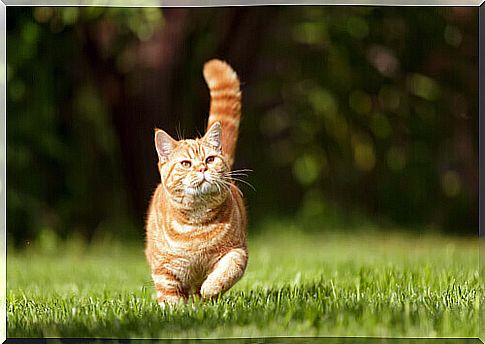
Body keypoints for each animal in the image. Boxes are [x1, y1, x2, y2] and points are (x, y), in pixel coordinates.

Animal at [145, 59, 248, 304]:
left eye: (210, 159)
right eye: (185, 163)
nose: (202, 168)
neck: (196, 229)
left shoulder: (238, 251)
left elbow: (228, 270)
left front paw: (211, 287)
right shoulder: (164, 269)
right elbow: (170, 298)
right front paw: (177, 311)